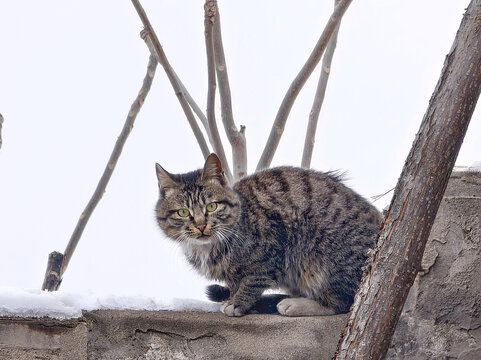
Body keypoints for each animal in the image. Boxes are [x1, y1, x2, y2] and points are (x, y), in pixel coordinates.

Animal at [156, 153, 380, 316]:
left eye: (211, 207)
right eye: (183, 212)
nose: (201, 225)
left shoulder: (270, 254)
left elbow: (251, 281)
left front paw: (238, 303)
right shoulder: (234, 274)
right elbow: (235, 283)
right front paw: (232, 298)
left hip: (324, 260)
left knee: (341, 302)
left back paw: (295, 304)